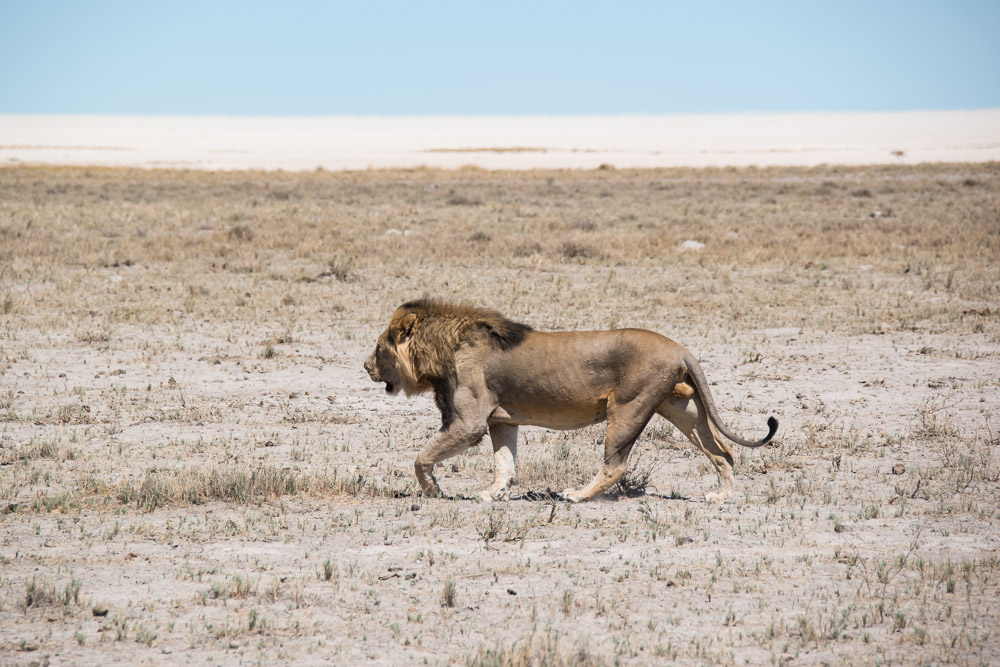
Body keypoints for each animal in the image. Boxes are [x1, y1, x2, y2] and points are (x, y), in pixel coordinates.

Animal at [364, 300, 776, 504]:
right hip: (682, 410)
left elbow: (422, 457)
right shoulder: (501, 420)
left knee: (615, 466)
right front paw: (494, 495)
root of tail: (679, 347)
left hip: (628, 408)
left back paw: (575, 496)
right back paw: (720, 496)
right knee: (723, 452)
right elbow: (504, 463)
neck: (441, 350)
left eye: (379, 347)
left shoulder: (470, 422)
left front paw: (433, 490)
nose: (365, 366)